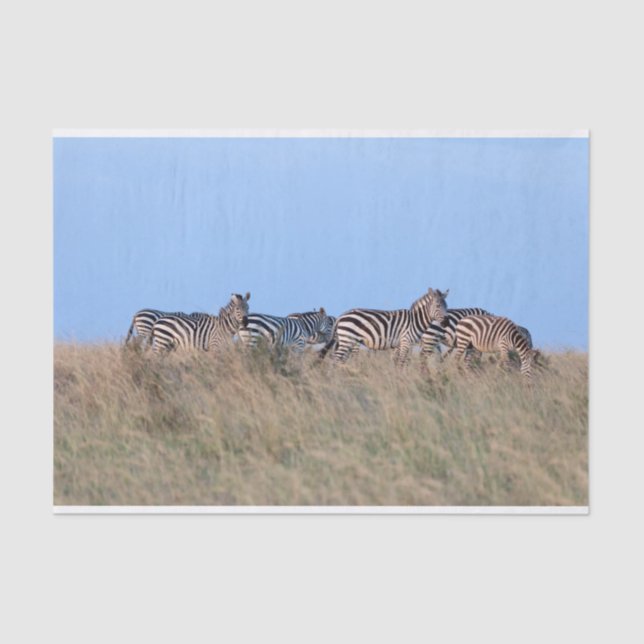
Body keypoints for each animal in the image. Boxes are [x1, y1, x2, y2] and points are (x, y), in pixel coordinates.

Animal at [319, 288, 449, 365]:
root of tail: (341, 315)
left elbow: (398, 362)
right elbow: (402, 362)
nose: (446, 322)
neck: (415, 320)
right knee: (335, 360)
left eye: (446, 306)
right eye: (438, 306)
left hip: (347, 341)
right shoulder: (406, 341)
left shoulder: (399, 344)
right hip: (347, 340)